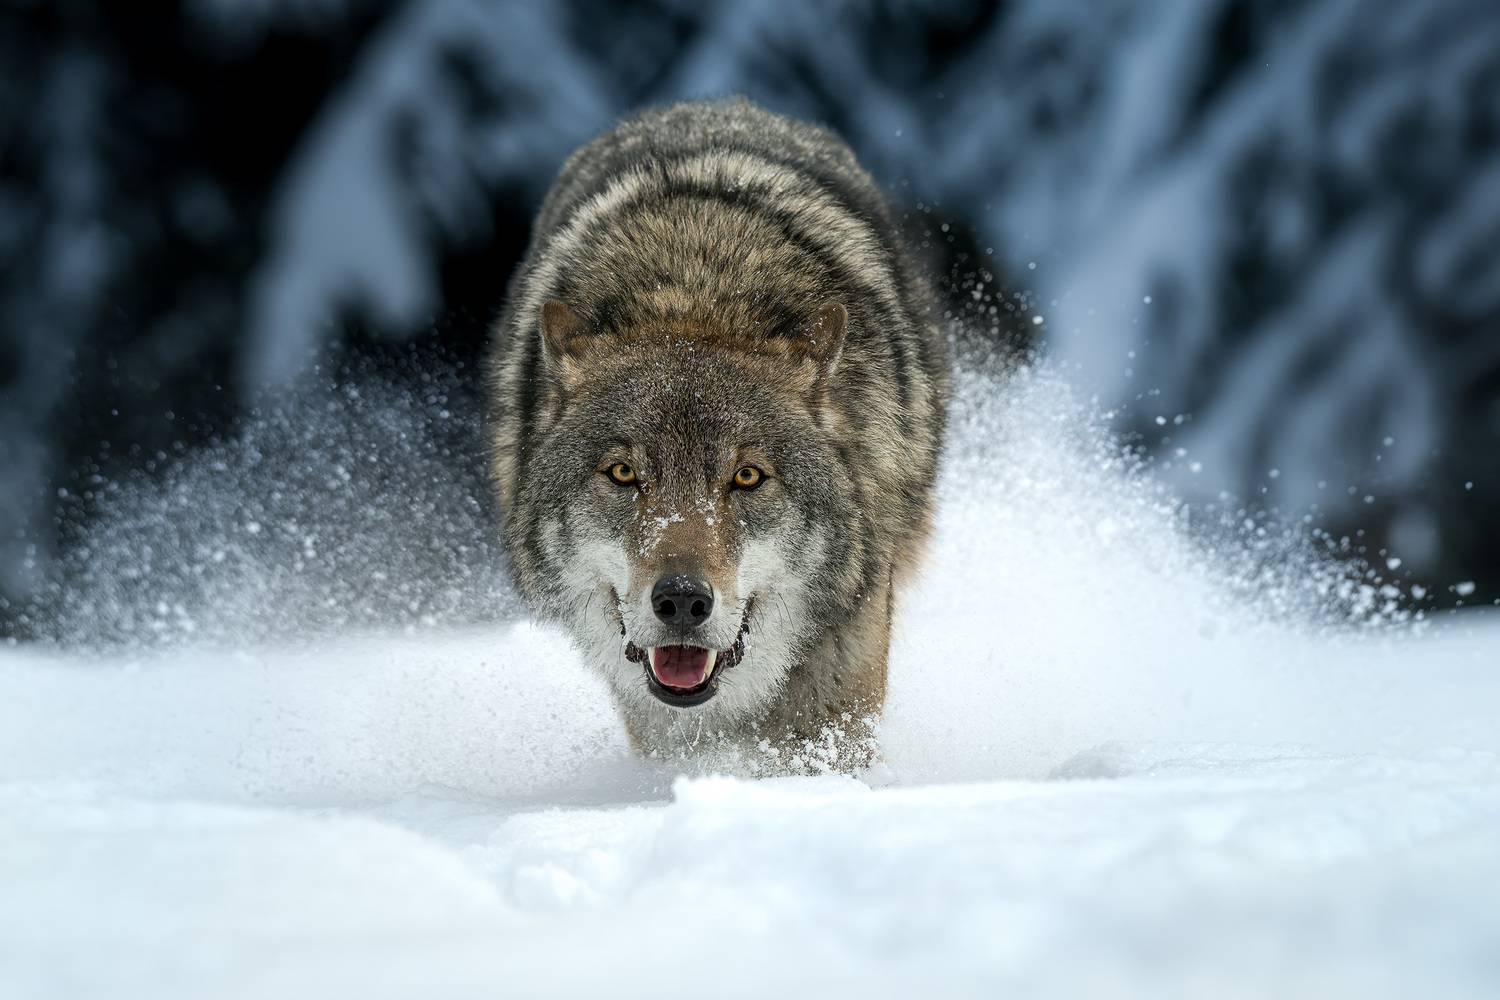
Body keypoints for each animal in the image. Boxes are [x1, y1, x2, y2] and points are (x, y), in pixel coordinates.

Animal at [486, 99, 948, 765]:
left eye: (747, 477)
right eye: (623, 474)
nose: (682, 600)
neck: (696, 294)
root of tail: (714, 103)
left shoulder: (840, 686)